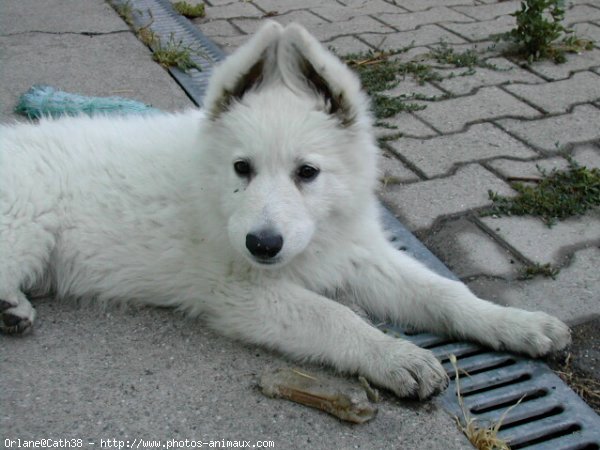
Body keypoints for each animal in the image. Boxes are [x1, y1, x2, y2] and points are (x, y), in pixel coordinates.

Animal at [0, 22, 568, 400]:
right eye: (241, 168)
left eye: (308, 172)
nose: (262, 244)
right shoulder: (241, 292)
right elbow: (334, 315)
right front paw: (394, 355)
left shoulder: (359, 254)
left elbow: (444, 292)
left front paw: (516, 323)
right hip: (25, 226)